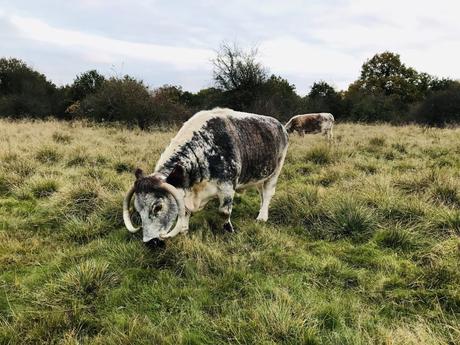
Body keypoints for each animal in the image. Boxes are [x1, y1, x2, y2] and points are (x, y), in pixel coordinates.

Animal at [122, 107, 288, 245]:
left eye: (158, 207)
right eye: (137, 209)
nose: (150, 242)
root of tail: (281, 126)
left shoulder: (227, 187)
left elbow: (224, 212)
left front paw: (228, 230)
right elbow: (184, 211)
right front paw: (183, 231)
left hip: (276, 170)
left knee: (268, 193)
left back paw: (262, 217)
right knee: (262, 193)